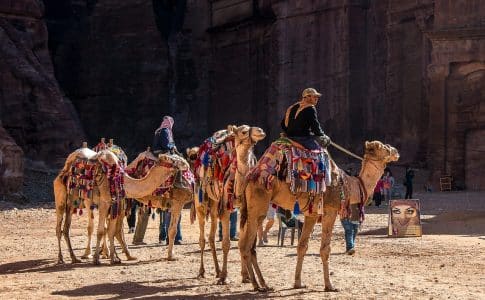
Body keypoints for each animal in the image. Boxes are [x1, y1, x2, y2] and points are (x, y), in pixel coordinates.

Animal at [54, 148, 187, 264]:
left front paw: (114, 258)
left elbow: (111, 230)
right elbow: (101, 231)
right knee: (59, 227)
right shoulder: (104, 202)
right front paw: (97, 259)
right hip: (60, 195)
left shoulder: (114, 204)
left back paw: (74, 258)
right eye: (174, 160)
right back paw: (61, 258)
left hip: (73, 201)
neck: (121, 180)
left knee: (66, 229)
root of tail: (65, 166)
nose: (186, 164)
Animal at [194, 124, 266, 284]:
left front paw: (245, 276)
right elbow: (226, 243)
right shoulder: (226, 210)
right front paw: (224, 276)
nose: (260, 131)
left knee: (211, 236)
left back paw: (216, 270)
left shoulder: (243, 209)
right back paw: (202, 271)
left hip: (215, 203)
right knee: (202, 238)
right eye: (244, 131)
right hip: (200, 200)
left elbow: (240, 243)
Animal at [236, 140, 398, 290]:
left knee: (248, 245)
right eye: (384, 147)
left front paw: (298, 283)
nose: (395, 151)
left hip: (250, 210)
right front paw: (329, 285)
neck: (349, 185)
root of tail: (250, 177)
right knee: (246, 245)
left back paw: (263, 284)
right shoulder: (330, 210)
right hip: (258, 206)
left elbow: (302, 246)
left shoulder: (311, 214)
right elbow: (325, 249)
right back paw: (256, 285)